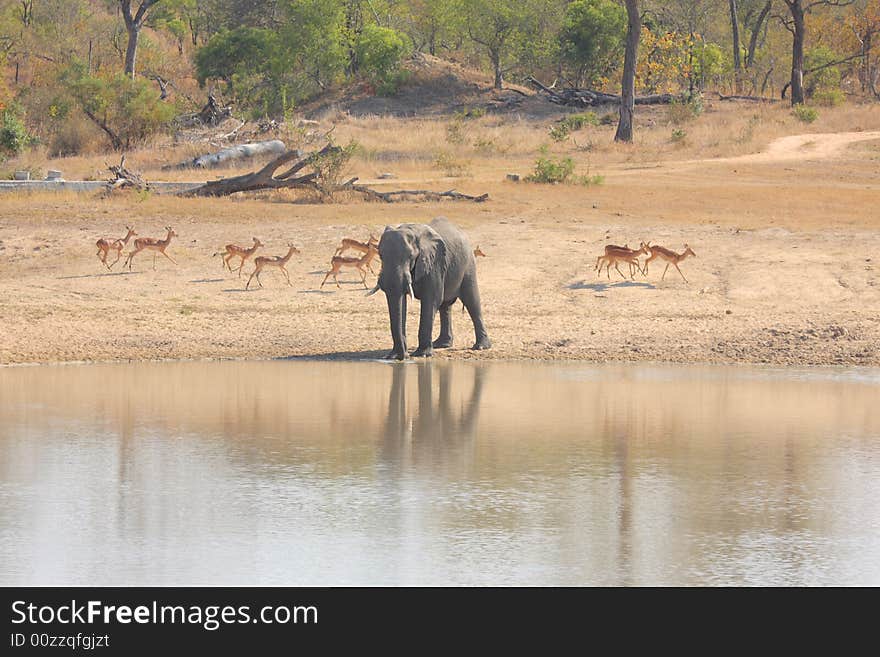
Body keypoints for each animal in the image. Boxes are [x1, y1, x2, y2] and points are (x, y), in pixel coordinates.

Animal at [364, 215, 488, 358]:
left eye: (410, 256)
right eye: (380, 255)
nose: (404, 356)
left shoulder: (434, 262)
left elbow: (431, 300)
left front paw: (421, 355)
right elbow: (401, 303)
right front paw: (393, 356)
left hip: (468, 264)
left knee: (471, 301)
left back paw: (481, 346)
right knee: (445, 306)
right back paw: (441, 344)